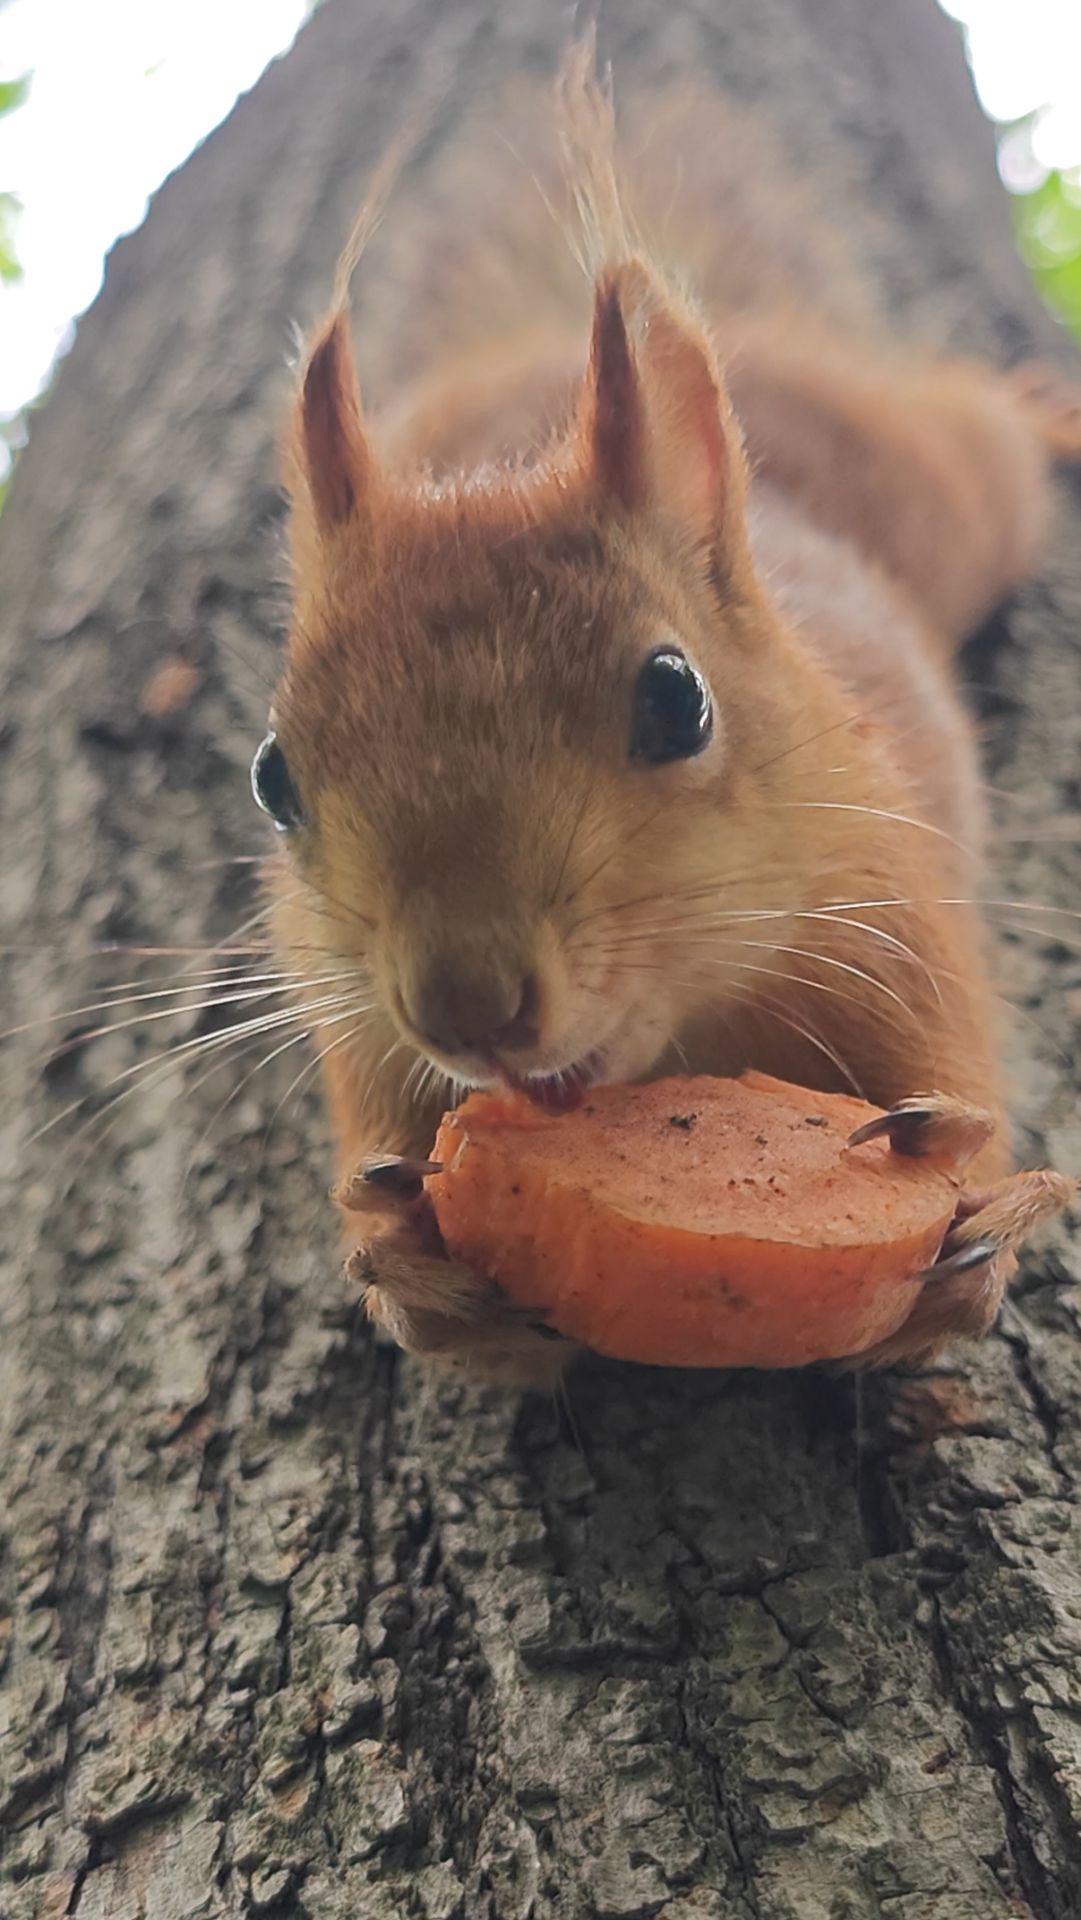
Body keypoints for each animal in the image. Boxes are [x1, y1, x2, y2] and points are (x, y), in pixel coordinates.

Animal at [256, 43, 1081, 1385]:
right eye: (273, 777)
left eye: (676, 699)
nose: (466, 1009)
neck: (678, 1035)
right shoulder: (356, 1025)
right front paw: (405, 1263)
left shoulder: (889, 904)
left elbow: (948, 1062)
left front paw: (983, 1217)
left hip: (953, 493)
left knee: (976, 421)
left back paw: (1041, 404)